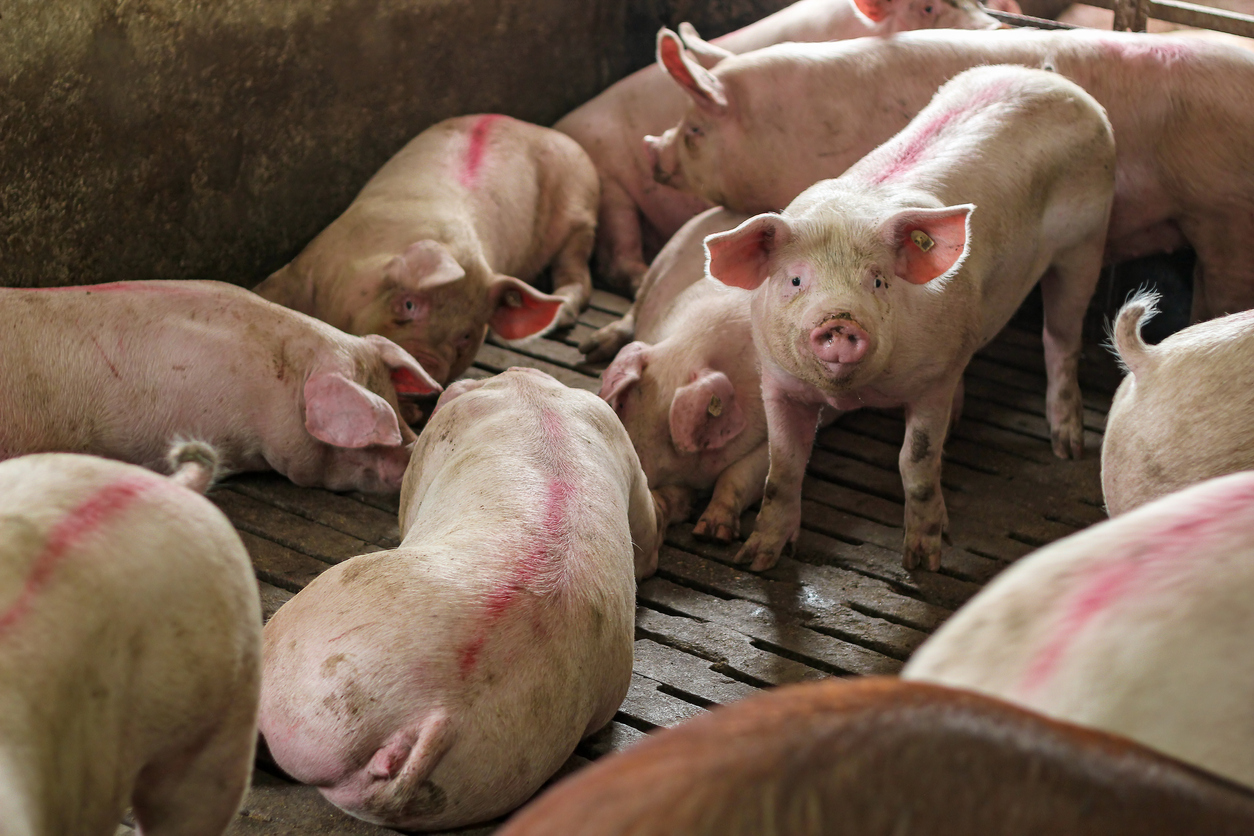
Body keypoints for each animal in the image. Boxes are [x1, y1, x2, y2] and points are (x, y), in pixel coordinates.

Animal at [254, 115, 598, 385]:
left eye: (466, 335)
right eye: (409, 304)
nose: (427, 368)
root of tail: (539, 129)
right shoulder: (307, 265)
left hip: (580, 215)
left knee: (578, 276)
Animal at [704, 66, 1114, 572]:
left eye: (879, 281)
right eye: (796, 279)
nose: (840, 321)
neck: (854, 394)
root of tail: (1045, 75)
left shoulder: (930, 383)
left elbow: (915, 462)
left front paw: (922, 561)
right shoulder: (778, 382)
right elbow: (783, 468)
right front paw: (754, 559)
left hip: (1087, 243)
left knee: (1061, 338)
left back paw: (1067, 447)